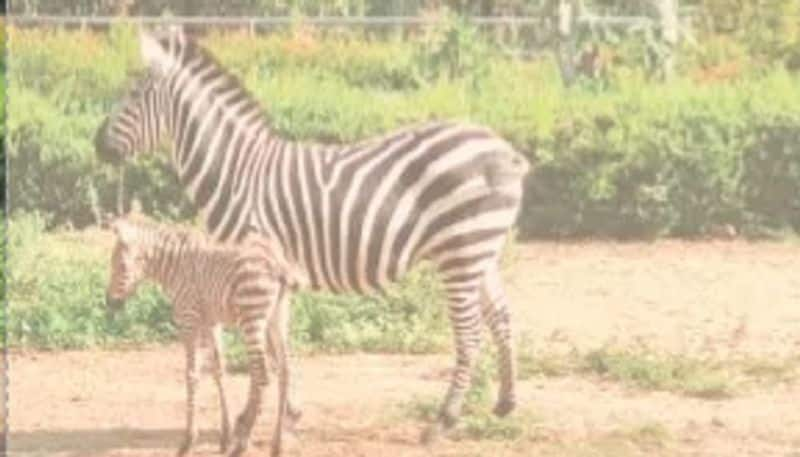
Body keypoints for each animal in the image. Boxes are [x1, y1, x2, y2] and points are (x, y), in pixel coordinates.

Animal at [104, 214, 304, 456]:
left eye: (121, 266)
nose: (110, 303)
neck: (174, 264)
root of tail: (278, 262)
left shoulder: (189, 319)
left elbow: (192, 374)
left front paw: (188, 440)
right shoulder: (211, 322)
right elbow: (219, 370)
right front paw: (225, 436)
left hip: (252, 318)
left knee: (263, 375)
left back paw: (243, 440)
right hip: (278, 317)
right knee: (285, 371)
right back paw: (276, 444)